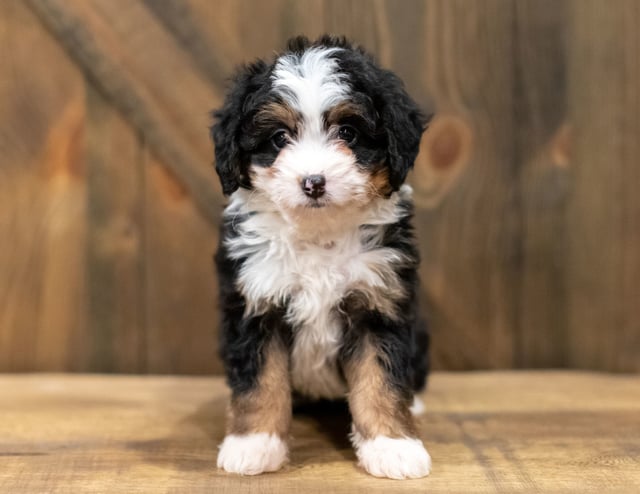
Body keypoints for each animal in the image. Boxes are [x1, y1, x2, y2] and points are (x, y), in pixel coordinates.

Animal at [214, 36, 430, 480]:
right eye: (279, 138)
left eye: (347, 131)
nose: (313, 182)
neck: (318, 235)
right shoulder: (254, 301)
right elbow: (259, 379)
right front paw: (253, 444)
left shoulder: (378, 301)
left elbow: (381, 377)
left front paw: (394, 446)